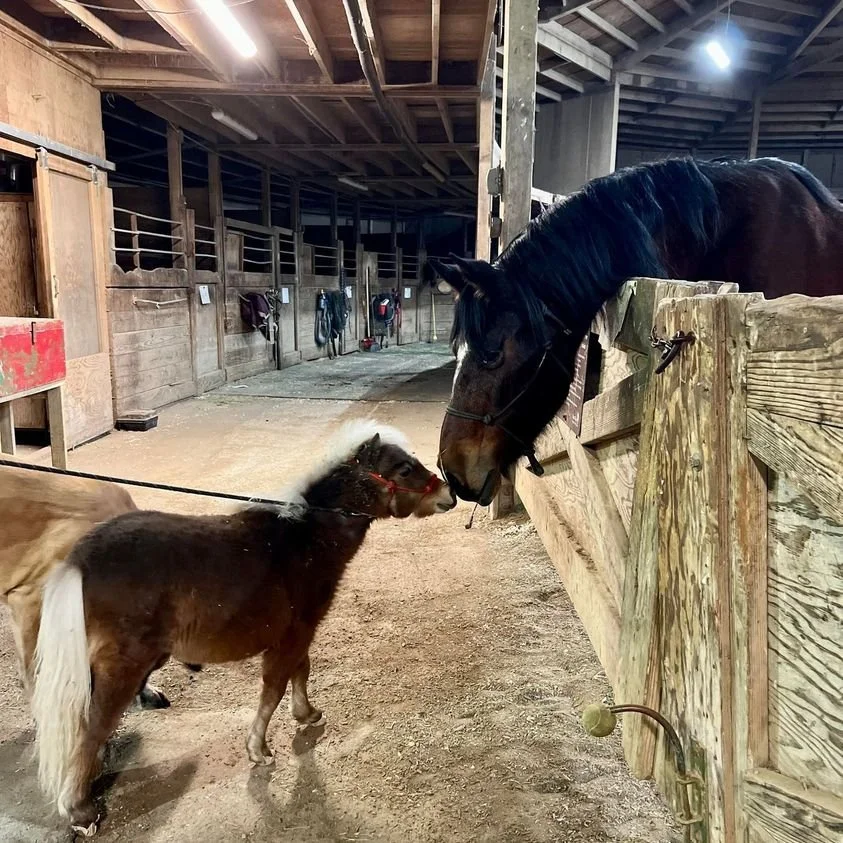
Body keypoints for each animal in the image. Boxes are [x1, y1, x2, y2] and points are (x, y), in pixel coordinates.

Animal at [30, 421, 455, 836]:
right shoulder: (295, 634)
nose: (449, 494)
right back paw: (81, 810)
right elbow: (275, 687)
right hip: (123, 666)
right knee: (91, 725)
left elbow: (301, 671)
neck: (305, 539)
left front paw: (306, 713)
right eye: (403, 469)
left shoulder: (297, 634)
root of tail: (80, 559)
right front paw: (259, 749)